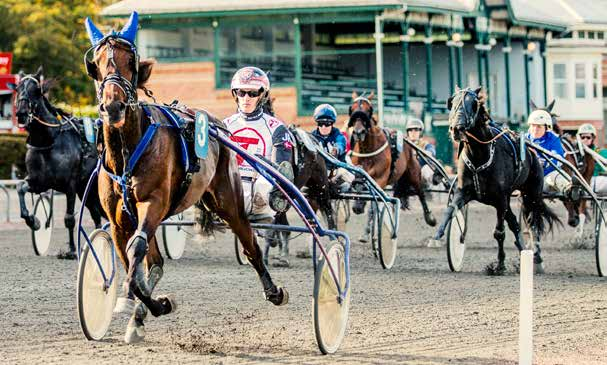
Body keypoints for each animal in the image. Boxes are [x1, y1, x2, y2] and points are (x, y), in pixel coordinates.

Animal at [8, 67, 104, 258]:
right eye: (18, 88)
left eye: (36, 91)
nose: (21, 113)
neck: (48, 141)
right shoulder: (39, 182)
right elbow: (20, 187)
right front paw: (34, 221)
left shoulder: (70, 184)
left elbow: (69, 218)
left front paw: (71, 250)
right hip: (85, 188)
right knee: (96, 214)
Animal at [83, 14, 290, 344]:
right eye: (98, 63)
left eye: (130, 62)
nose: (113, 106)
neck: (126, 154)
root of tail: (218, 125)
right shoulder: (119, 221)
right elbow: (133, 260)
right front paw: (147, 307)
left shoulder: (153, 204)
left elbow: (136, 250)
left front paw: (141, 301)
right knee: (154, 262)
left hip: (228, 201)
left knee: (251, 245)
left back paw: (274, 291)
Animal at [346, 90, 436, 239]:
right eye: (352, 109)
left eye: (368, 110)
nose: (359, 132)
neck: (368, 150)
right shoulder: (358, 174)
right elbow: (360, 187)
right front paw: (358, 206)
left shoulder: (380, 180)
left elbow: (373, 205)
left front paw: (367, 231)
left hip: (413, 173)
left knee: (420, 192)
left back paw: (430, 218)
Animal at [432, 86, 560, 272]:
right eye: (452, 102)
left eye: (473, 104)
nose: (457, 128)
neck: (479, 156)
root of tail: (532, 152)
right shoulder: (464, 192)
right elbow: (450, 210)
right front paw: (438, 234)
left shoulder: (500, 198)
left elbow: (499, 233)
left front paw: (499, 265)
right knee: (514, 223)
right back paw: (523, 251)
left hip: (531, 194)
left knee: (533, 223)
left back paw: (536, 258)